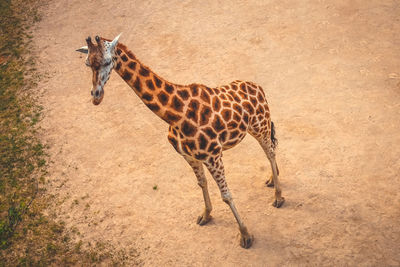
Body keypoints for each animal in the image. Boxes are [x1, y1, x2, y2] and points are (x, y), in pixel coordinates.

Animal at [76, 34, 284, 250]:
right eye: (87, 63)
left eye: (107, 61)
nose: (96, 96)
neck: (175, 114)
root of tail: (258, 87)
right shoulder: (189, 156)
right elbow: (201, 183)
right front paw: (206, 215)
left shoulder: (213, 156)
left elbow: (226, 195)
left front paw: (245, 235)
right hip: (258, 126)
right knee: (271, 150)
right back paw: (272, 179)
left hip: (259, 125)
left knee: (270, 152)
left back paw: (278, 196)